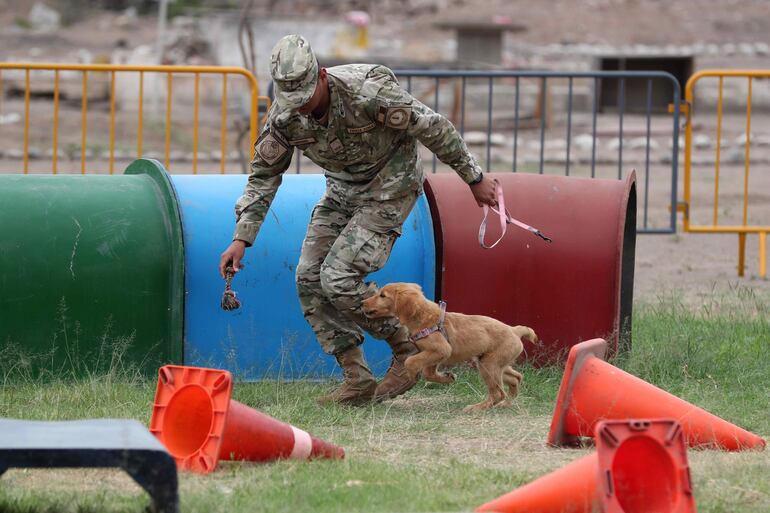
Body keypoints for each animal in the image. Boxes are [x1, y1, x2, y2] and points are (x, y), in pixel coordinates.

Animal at [360, 282, 536, 410]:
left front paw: (411, 375)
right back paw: (505, 404)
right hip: (494, 363)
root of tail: (514, 330)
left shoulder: (441, 349)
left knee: (498, 393)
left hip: (490, 365)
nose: (361, 303)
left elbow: (410, 361)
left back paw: (477, 407)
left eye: (382, 295)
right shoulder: (433, 355)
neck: (425, 317)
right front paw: (447, 378)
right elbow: (428, 373)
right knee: (516, 378)